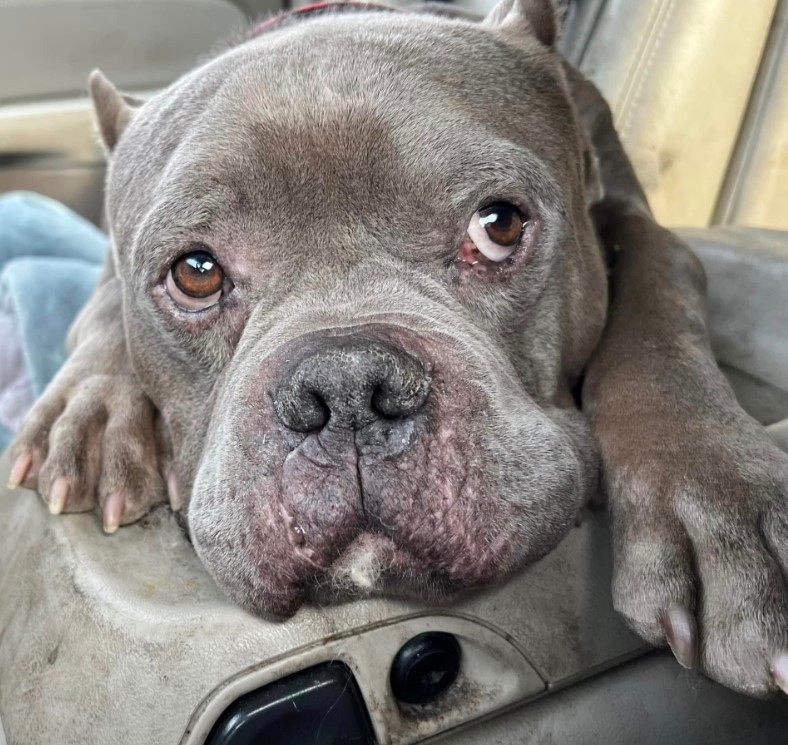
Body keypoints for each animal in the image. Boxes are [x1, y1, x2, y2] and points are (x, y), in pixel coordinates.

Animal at [6, 0, 788, 696]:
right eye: (195, 271)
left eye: (499, 225)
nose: (346, 387)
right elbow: (103, 303)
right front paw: (91, 408)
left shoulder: (629, 215)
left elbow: (660, 291)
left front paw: (715, 491)